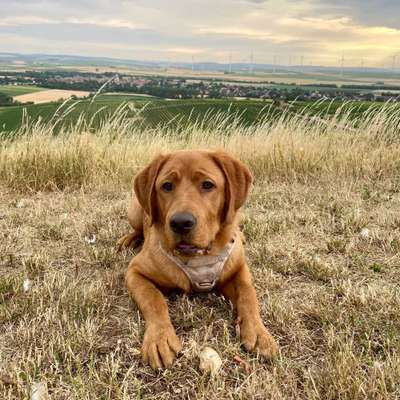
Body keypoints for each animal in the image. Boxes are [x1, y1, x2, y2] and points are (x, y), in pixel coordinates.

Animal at [119, 149, 278, 368]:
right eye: (166, 186)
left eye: (207, 185)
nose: (180, 222)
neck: (199, 256)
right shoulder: (135, 271)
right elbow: (154, 299)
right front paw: (160, 338)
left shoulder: (238, 269)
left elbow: (248, 294)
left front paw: (259, 332)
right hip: (134, 211)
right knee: (136, 228)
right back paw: (128, 239)